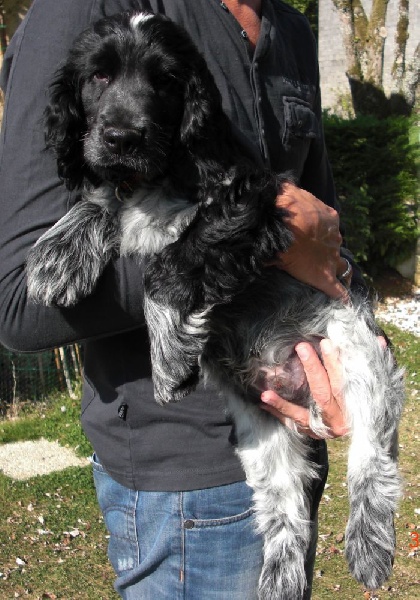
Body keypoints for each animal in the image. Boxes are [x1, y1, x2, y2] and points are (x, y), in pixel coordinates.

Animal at [26, 12, 404, 599]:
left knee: (373, 458)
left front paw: (169, 360)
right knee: (286, 509)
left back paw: (368, 545)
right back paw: (279, 577)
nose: (121, 136)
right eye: (98, 77)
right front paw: (56, 254)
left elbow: (169, 261)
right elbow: (107, 200)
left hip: (358, 354)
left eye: (165, 82)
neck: (162, 171)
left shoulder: (250, 206)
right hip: (260, 434)